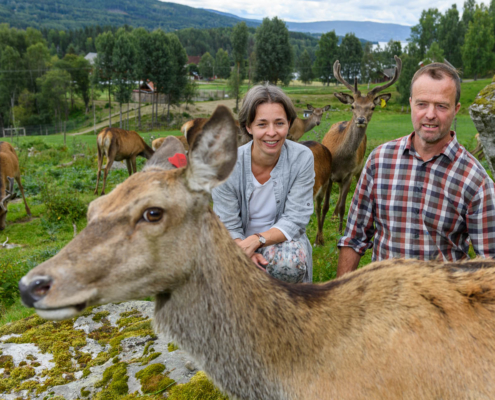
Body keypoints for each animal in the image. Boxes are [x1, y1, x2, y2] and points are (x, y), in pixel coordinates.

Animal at [322, 55, 404, 231]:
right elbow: (325, 205)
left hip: (359, 170)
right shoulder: (330, 176)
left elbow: (343, 207)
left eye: (372, 107)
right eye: (353, 106)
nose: (360, 119)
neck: (341, 159)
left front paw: (340, 231)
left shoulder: (349, 173)